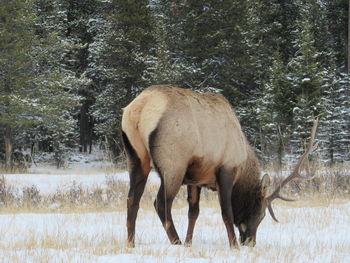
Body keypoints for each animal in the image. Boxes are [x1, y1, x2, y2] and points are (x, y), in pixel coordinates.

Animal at [121, 85, 318, 250]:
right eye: (261, 214)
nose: (250, 242)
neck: (243, 164)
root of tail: (139, 109)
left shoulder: (195, 178)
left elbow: (194, 212)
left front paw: (189, 243)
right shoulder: (226, 169)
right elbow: (227, 212)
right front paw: (233, 246)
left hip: (136, 158)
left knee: (132, 200)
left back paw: (131, 243)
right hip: (173, 163)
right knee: (161, 203)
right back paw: (175, 242)